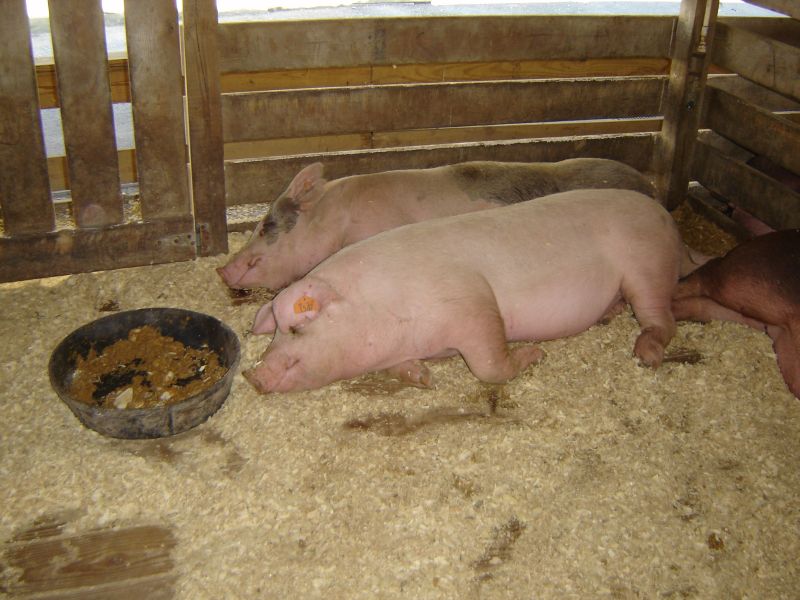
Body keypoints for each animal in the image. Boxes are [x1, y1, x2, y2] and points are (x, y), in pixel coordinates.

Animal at [242, 189, 692, 394]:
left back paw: (646, 355)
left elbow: (490, 365)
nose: (253, 374)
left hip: (646, 265)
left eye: (296, 328)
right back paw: (607, 318)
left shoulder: (474, 304)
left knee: (663, 318)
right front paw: (423, 378)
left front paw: (535, 355)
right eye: (276, 328)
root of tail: (666, 216)